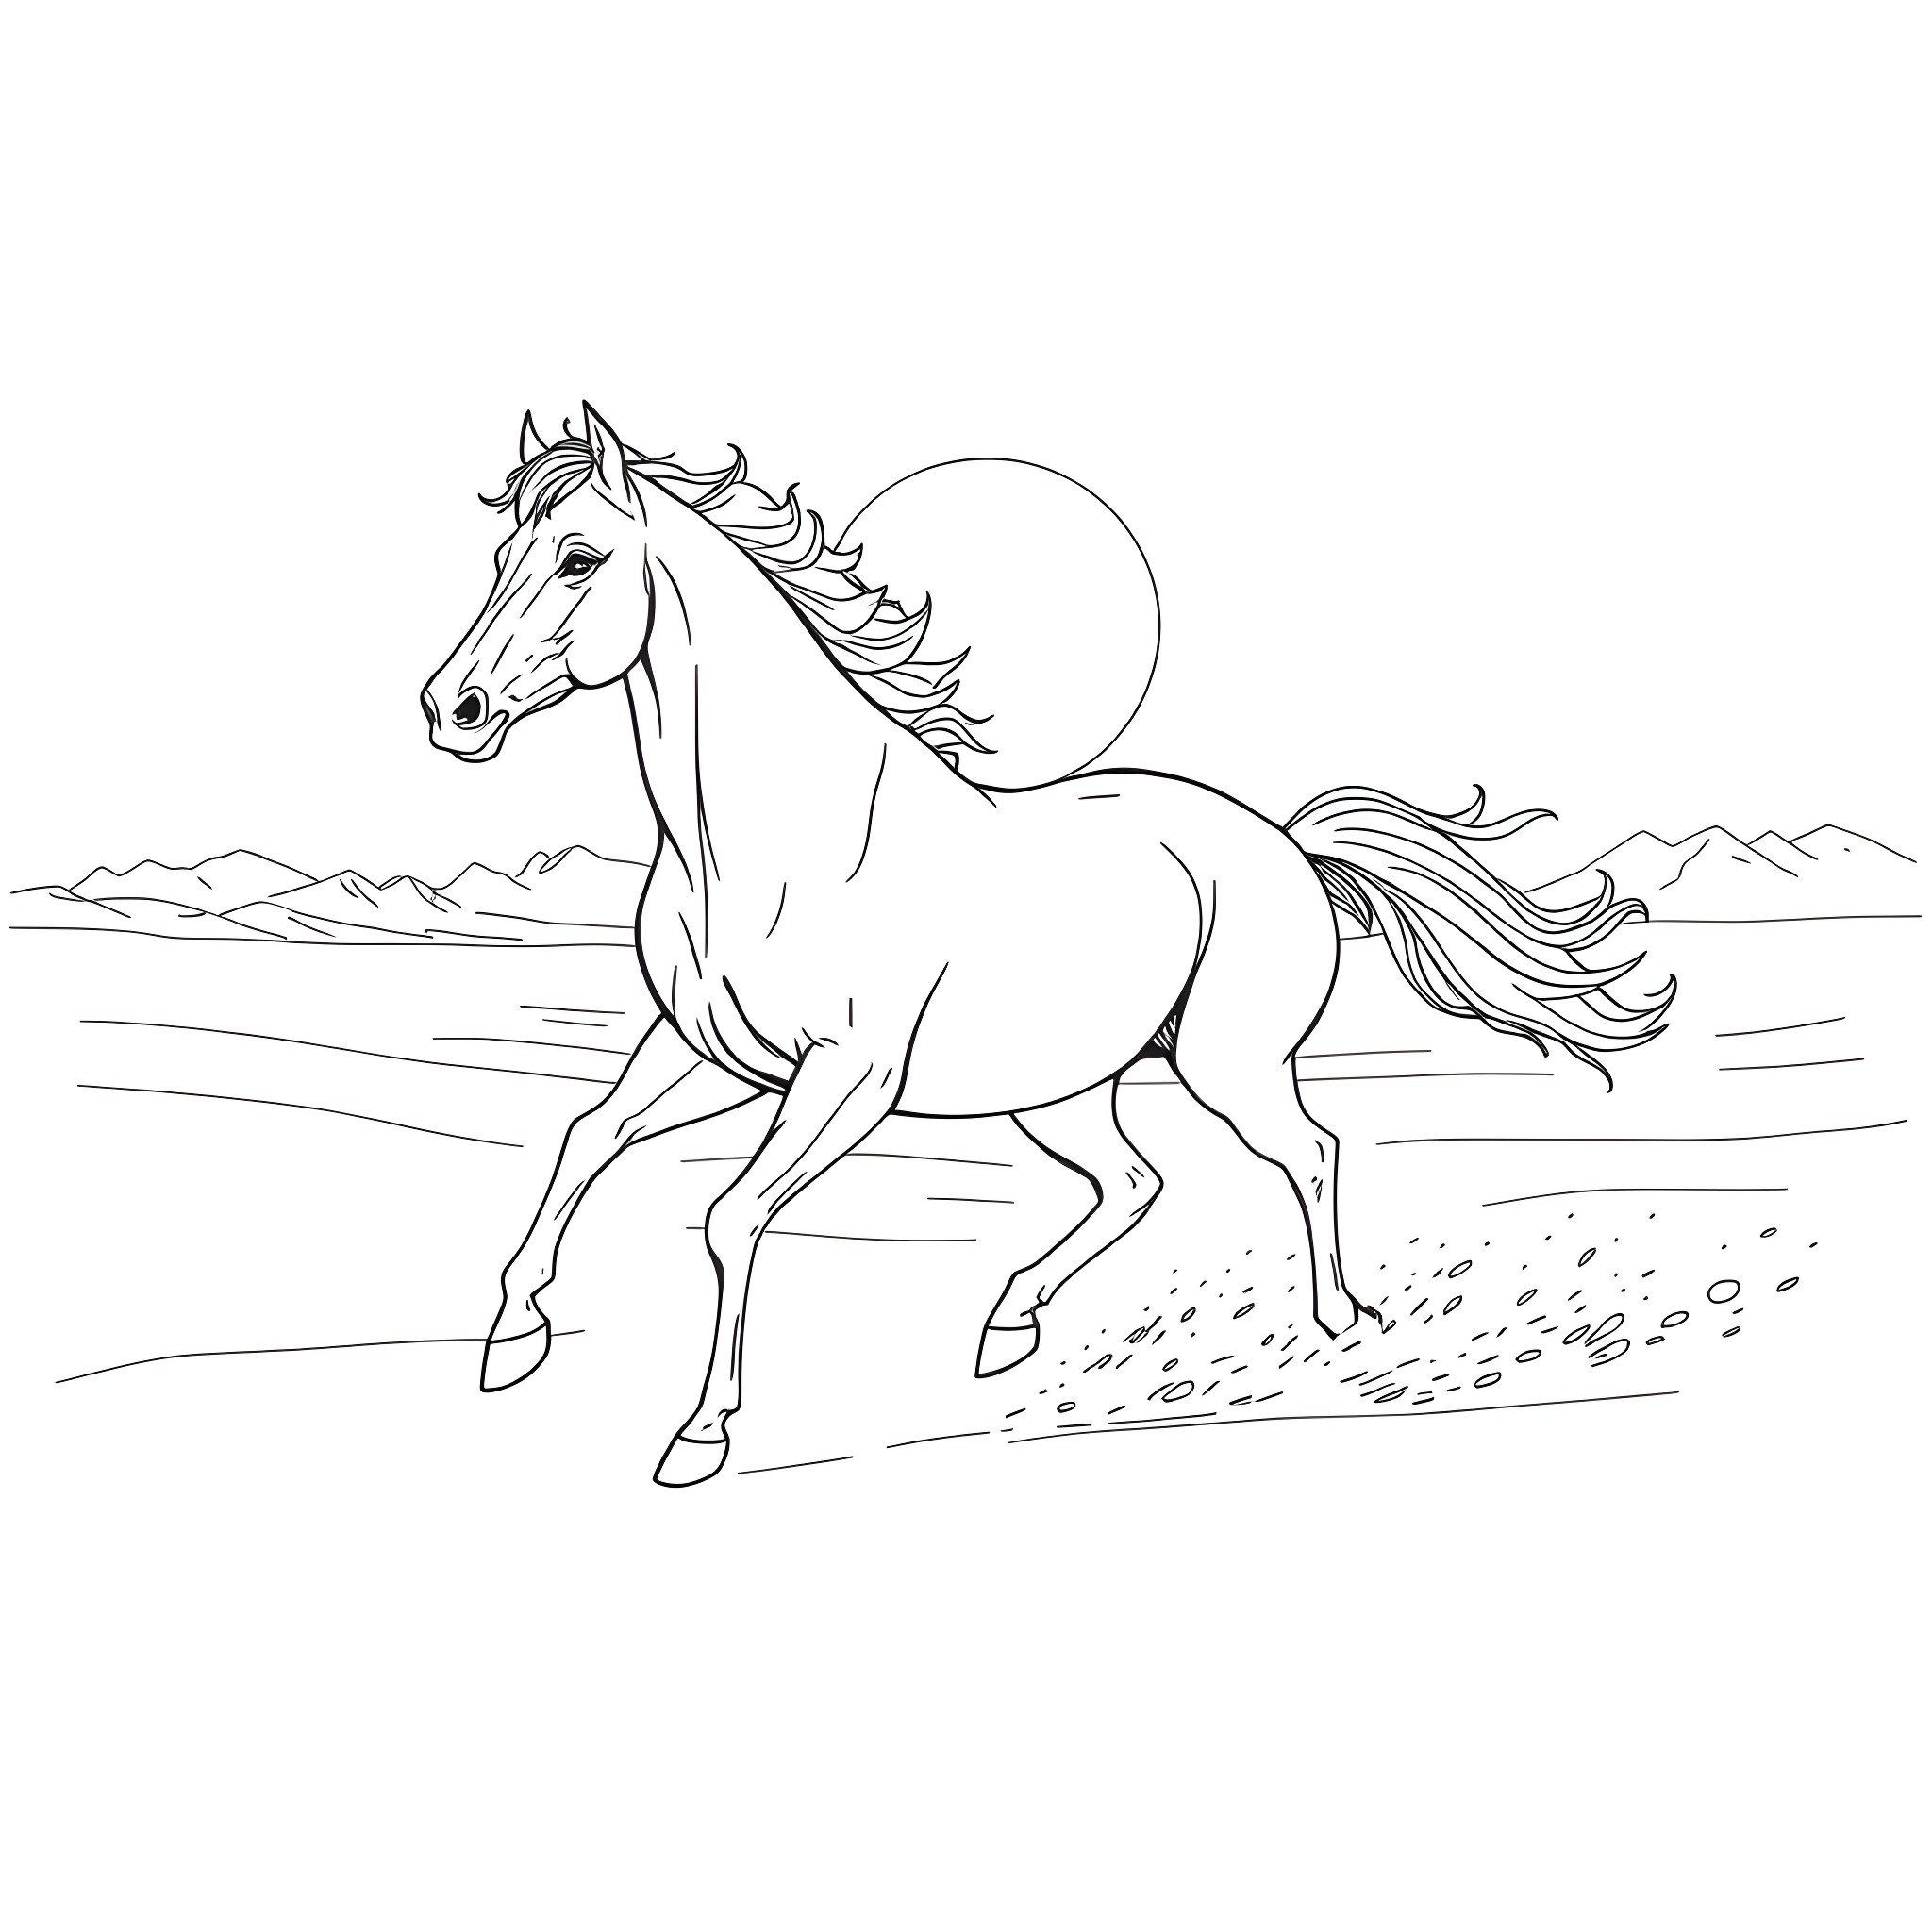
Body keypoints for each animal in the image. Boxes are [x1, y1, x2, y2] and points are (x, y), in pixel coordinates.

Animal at [419, 402, 1672, 1487]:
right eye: (502, 556)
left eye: (579, 558)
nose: (451, 710)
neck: (766, 839)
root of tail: (1285, 844)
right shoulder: (709, 1052)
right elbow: (584, 1138)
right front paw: (511, 1339)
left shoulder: (844, 1078)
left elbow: (731, 1215)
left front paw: (698, 1435)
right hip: (1061, 1089)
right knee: (1133, 1180)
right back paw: (1005, 1320)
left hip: (1226, 1065)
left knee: (1307, 1153)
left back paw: (1338, 1317)